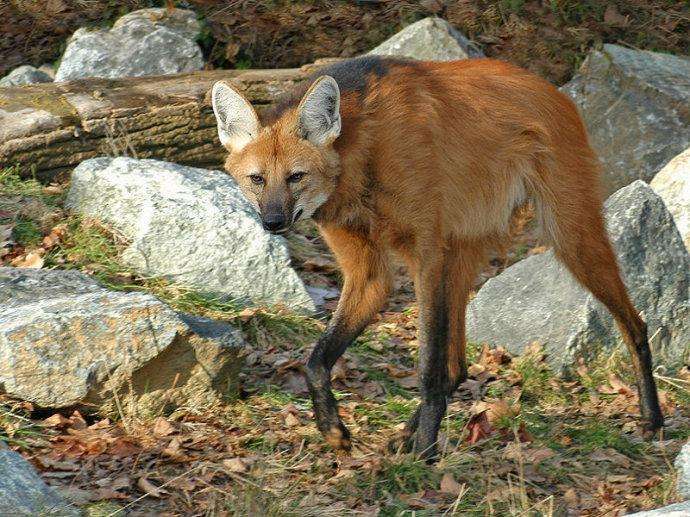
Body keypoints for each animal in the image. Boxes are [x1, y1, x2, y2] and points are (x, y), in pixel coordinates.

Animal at [208, 56, 660, 460]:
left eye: (296, 177)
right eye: (257, 179)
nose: (273, 222)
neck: (363, 157)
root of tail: (558, 92)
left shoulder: (426, 255)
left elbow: (426, 366)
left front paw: (425, 453)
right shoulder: (373, 273)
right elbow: (316, 361)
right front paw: (335, 430)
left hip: (569, 235)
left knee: (635, 322)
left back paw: (652, 418)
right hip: (462, 251)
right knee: (457, 366)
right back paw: (405, 435)